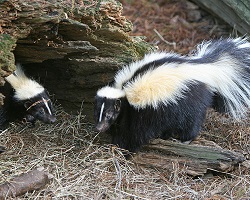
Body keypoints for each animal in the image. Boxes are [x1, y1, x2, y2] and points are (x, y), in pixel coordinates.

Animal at [94, 37, 250, 152]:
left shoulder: (139, 112)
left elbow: (135, 134)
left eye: (109, 115)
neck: (123, 92)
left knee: (192, 122)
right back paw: (167, 135)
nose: (99, 128)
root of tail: (205, 68)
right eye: (97, 113)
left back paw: (185, 139)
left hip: (191, 100)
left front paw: (124, 148)